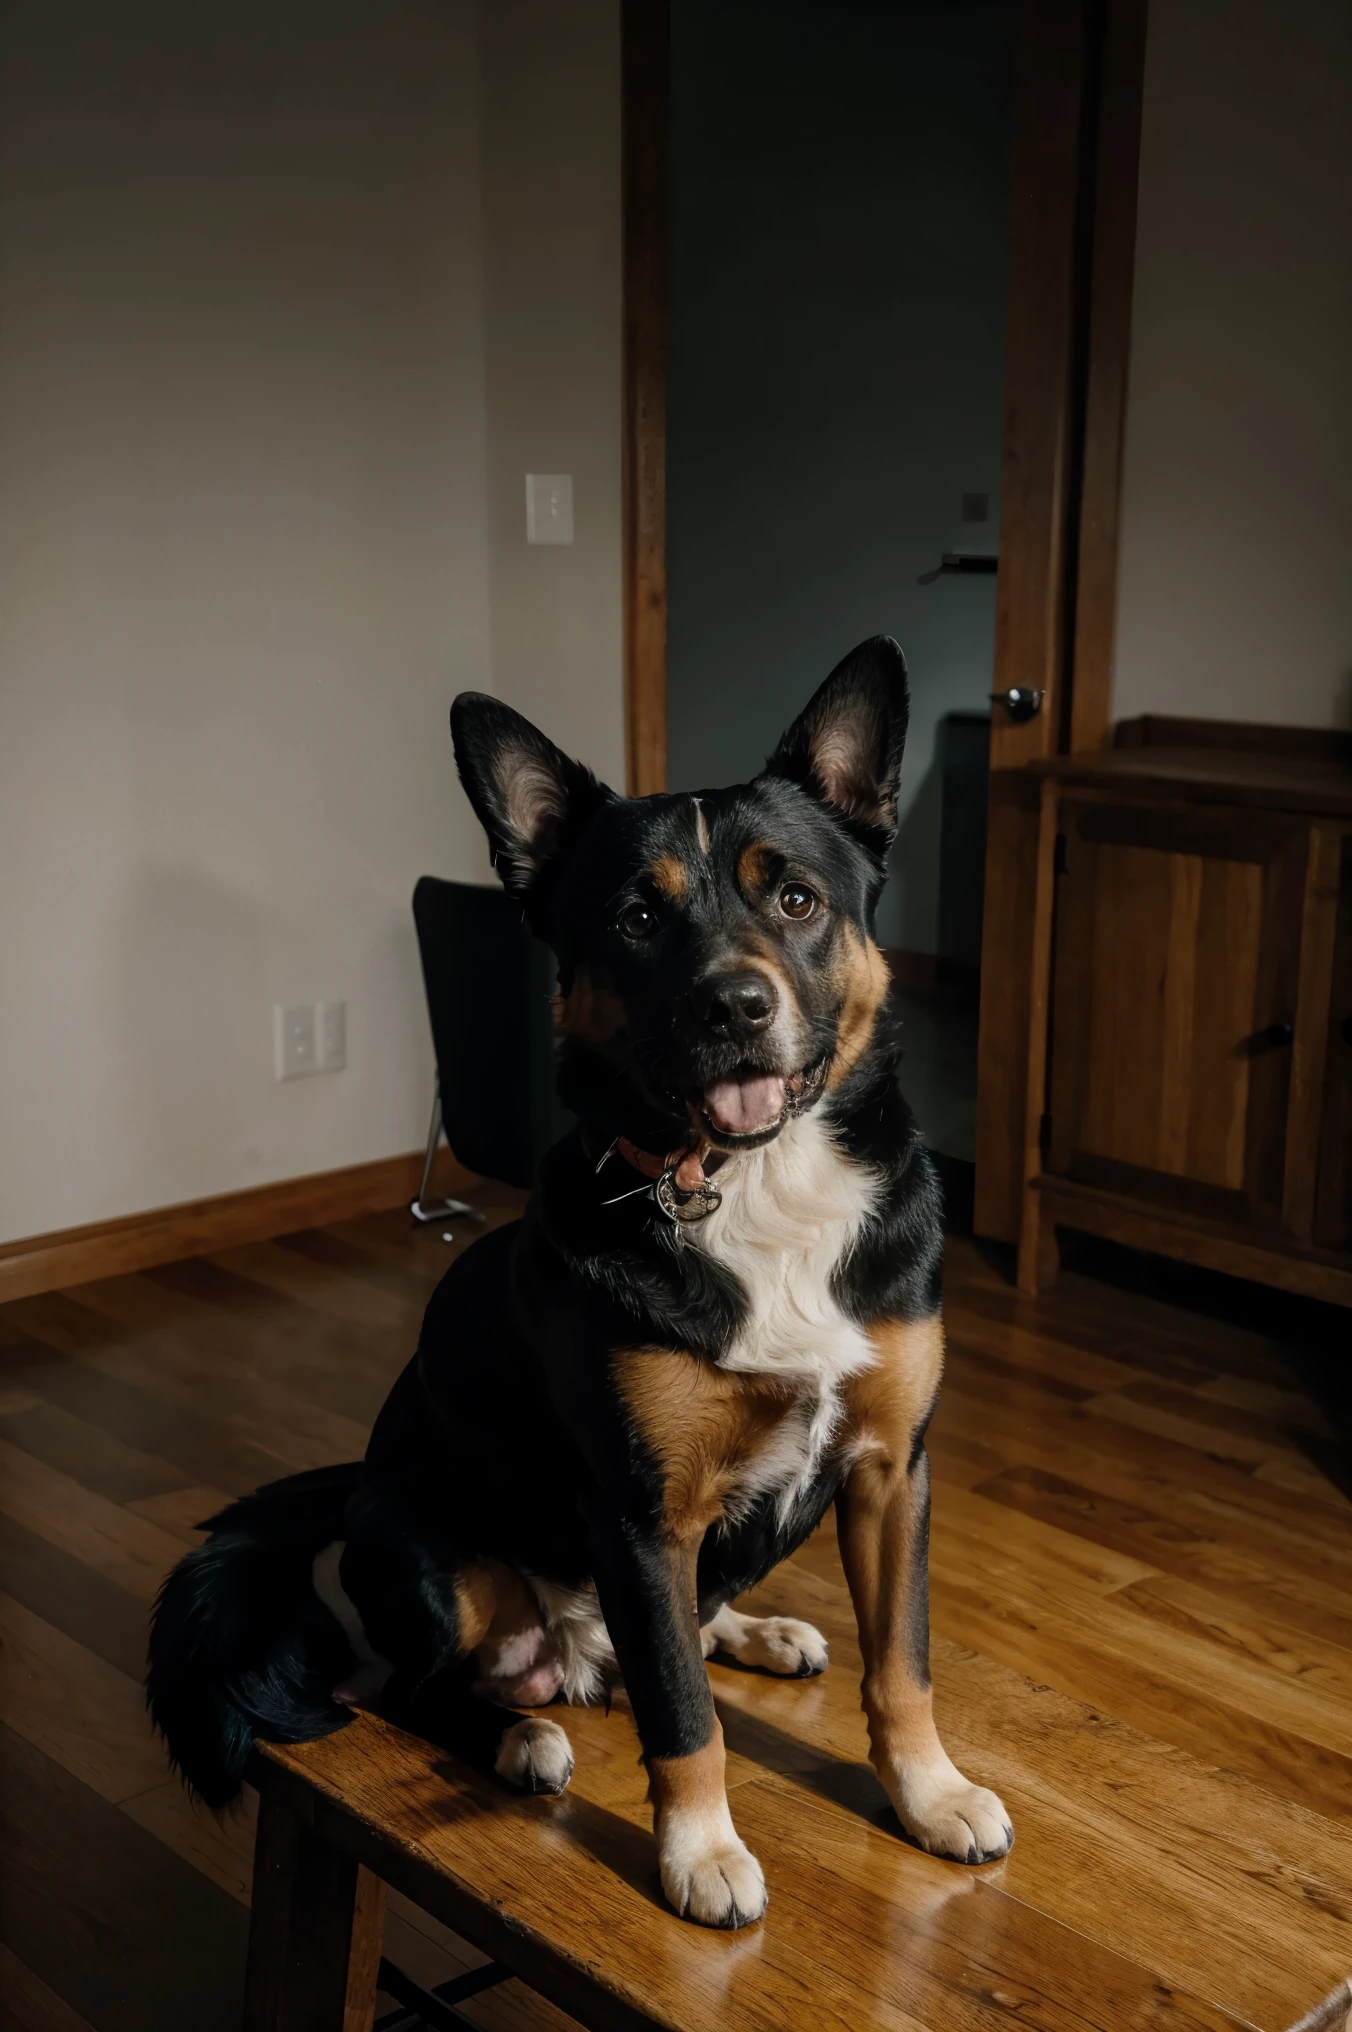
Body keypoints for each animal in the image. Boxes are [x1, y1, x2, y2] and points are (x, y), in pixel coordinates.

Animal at [150, 642, 1012, 1926]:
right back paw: (515, 1738)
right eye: (637, 918)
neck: (753, 1184)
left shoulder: (887, 1470)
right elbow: (680, 1715)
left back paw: (754, 1630)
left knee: (687, 1624)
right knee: (414, 1686)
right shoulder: (636, 1515)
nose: (732, 1004)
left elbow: (897, 1662)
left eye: (794, 898)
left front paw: (927, 1792)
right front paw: (699, 1852)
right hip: (434, 1553)